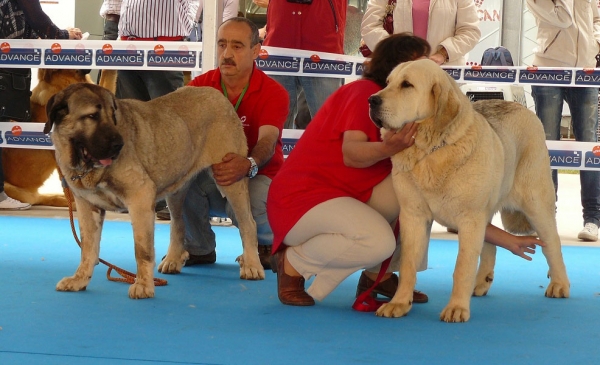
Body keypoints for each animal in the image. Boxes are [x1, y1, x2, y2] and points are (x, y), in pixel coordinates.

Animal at [44, 83, 264, 298]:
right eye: (91, 116)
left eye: (113, 115)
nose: (119, 145)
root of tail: (218, 95)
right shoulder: (87, 206)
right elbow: (88, 248)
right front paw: (79, 279)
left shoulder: (140, 197)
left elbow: (142, 250)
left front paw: (143, 285)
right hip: (176, 190)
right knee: (178, 224)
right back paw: (173, 259)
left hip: (230, 178)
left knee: (248, 223)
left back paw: (252, 265)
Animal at [368, 59, 568, 322]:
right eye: (388, 83)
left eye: (407, 85)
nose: (372, 100)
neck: (431, 150)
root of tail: (522, 107)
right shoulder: (413, 215)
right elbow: (408, 263)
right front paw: (400, 302)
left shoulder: (469, 219)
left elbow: (462, 265)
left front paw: (456, 308)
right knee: (490, 243)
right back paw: (481, 281)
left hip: (535, 203)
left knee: (552, 243)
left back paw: (560, 284)